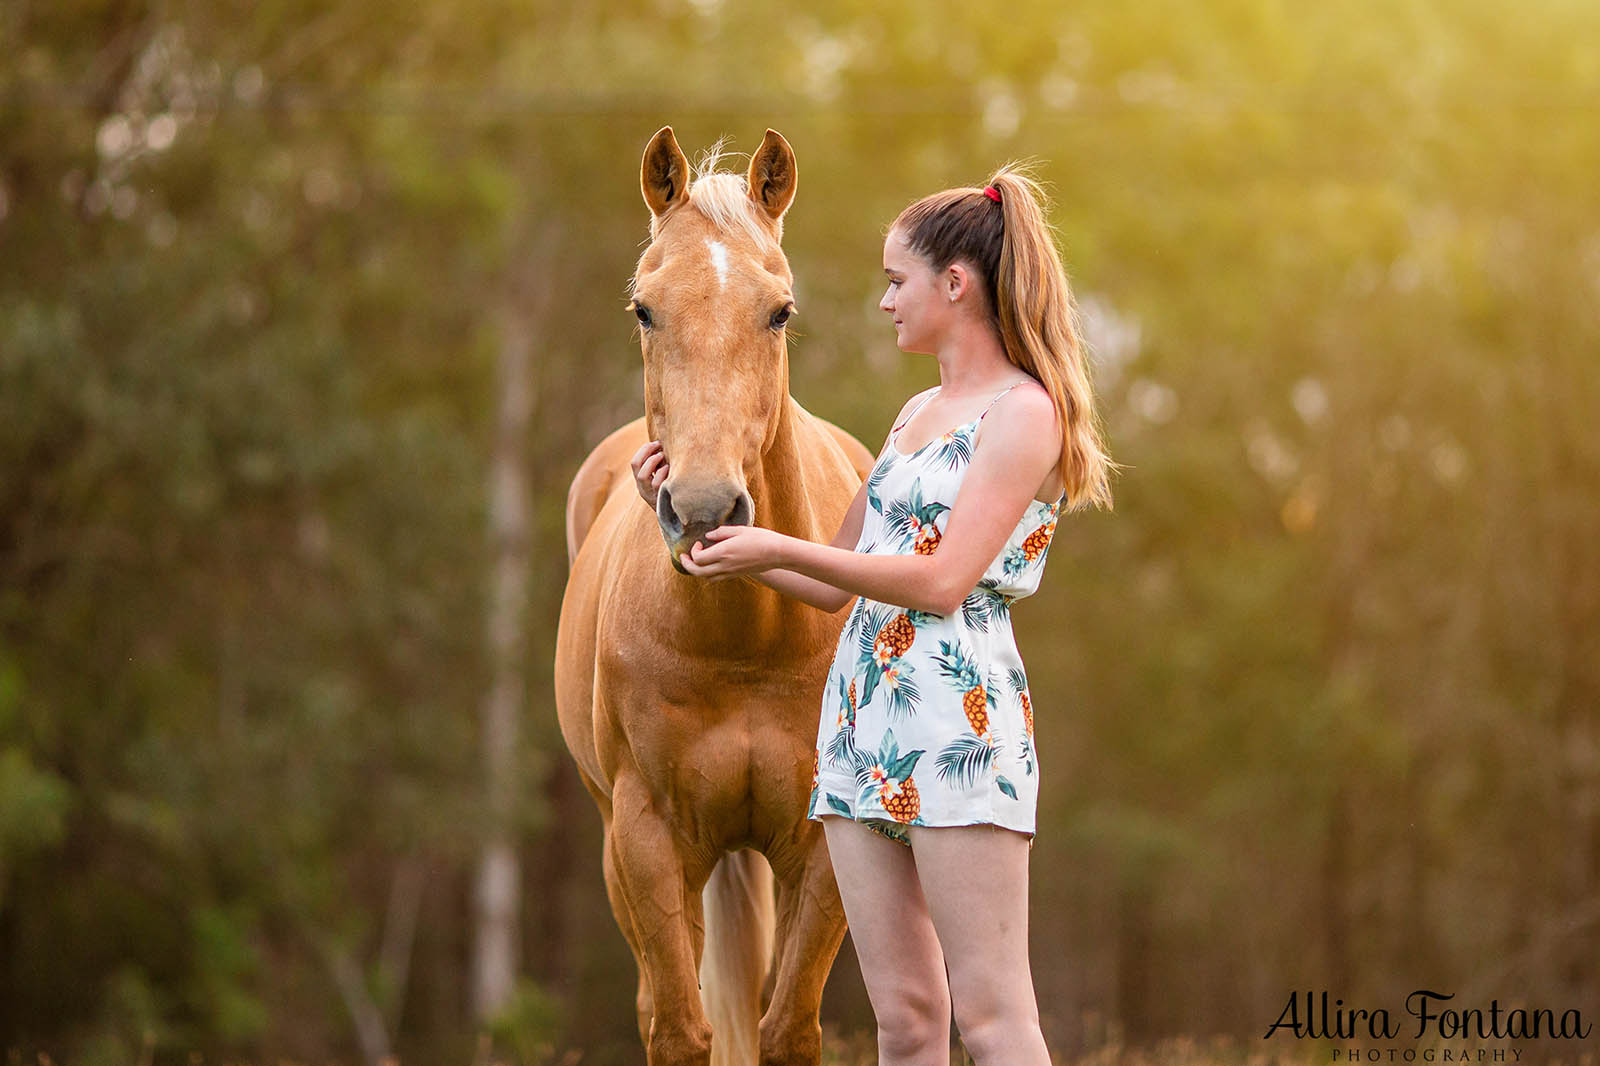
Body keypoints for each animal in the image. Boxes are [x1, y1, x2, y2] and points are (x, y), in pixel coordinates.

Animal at [550, 130, 876, 1062]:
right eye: (644, 310)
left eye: (780, 311)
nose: (701, 508)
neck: (745, 642)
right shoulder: (647, 839)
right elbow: (681, 1031)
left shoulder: (821, 845)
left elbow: (786, 1029)